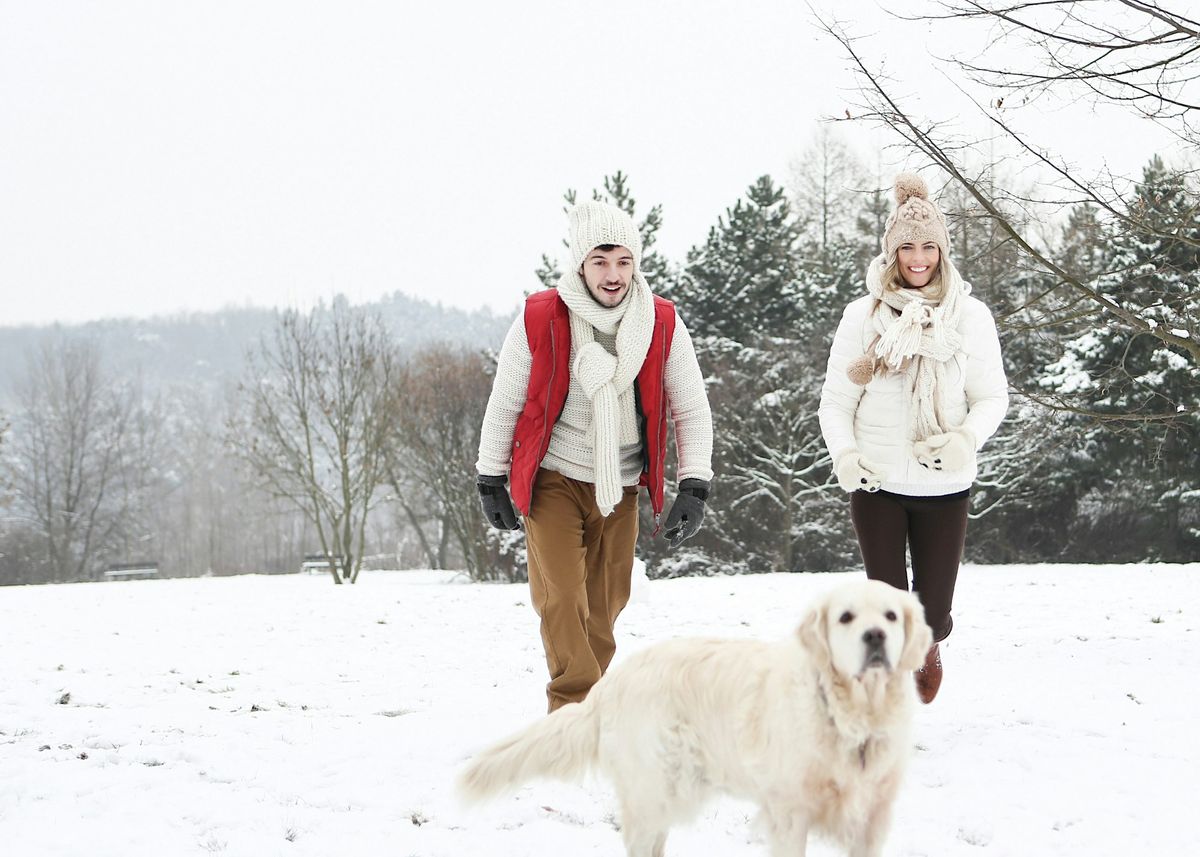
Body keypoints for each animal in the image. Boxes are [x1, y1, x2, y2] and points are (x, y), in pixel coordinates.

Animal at [453, 573, 931, 854]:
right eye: (846, 617)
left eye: (891, 615)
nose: (875, 636)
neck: (853, 713)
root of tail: (610, 683)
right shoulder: (789, 812)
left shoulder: (872, 817)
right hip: (655, 790)